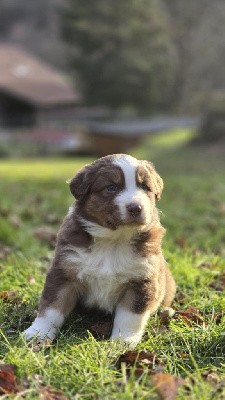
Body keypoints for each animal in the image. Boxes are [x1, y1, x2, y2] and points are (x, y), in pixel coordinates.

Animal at [24, 153, 176, 344]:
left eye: (145, 187)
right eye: (111, 187)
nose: (136, 208)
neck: (113, 241)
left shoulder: (142, 279)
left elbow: (130, 316)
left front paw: (124, 341)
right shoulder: (64, 272)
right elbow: (51, 307)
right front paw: (38, 332)